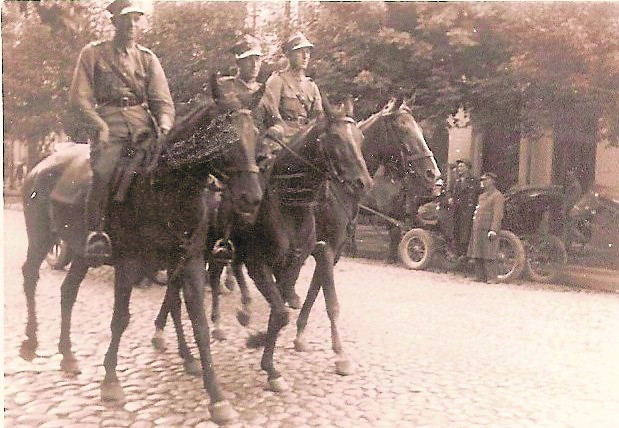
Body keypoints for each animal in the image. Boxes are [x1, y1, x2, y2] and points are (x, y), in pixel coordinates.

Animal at [19, 74, 262, 424]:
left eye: (256, 134)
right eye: (224, 137)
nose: (252, 198)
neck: (165, 187)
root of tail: (41, 165)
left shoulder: (188, 263)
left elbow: (198, 323)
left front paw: (216, 397)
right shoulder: (129, 263)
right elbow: (121, 318)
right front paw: (110, 381)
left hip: (82, 252)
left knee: (68, 291)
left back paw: (67, 354)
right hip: (39, 239)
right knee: (30, 277)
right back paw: (31, 341)